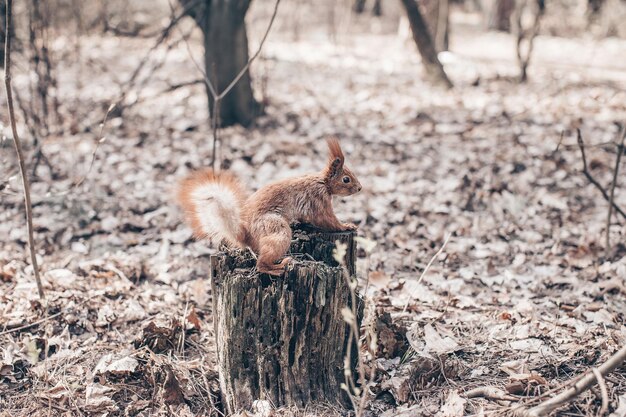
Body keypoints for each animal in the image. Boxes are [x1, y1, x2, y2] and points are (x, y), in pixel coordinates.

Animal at [176, 137, 360, 276]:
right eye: (346, 179)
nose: (360, 188)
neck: (322, 182)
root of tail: (245, 235)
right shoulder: (319, 200)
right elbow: (328, 220)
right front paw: (346, 226)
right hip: (275, 229)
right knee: (261, 264)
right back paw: (278, 267)